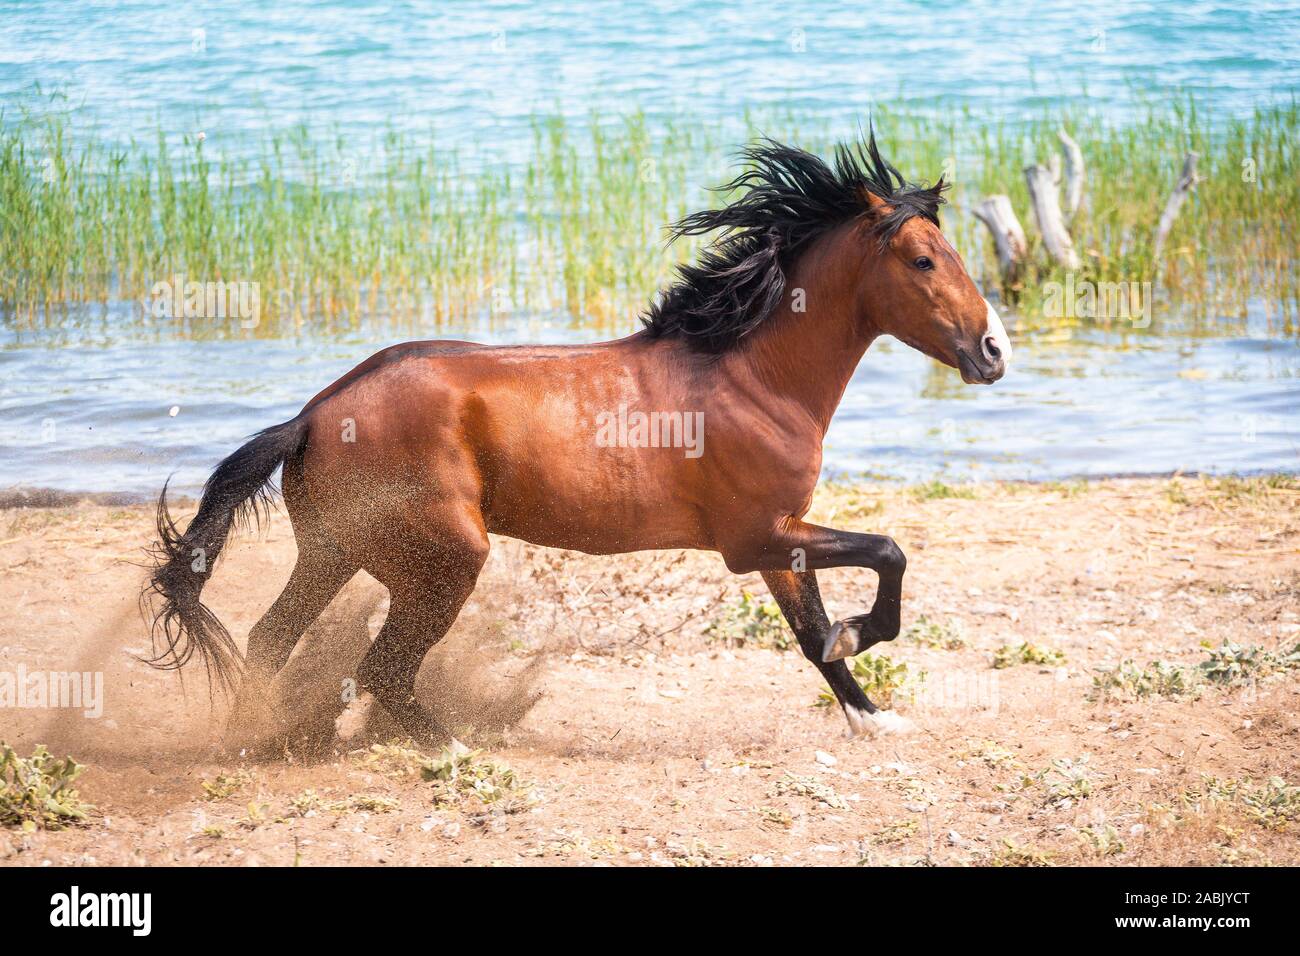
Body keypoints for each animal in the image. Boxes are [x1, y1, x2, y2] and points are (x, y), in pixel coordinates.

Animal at [143, 135, 1010, 744]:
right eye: (924, 259)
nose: (994, 350)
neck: (750, 377)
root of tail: (314, 416)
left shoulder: (780, 538)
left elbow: (808, 636)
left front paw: (873, 711)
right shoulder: (756, 537)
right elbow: (887, 554)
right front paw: (861, 635)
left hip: (335, 551)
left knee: (269, 639)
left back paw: (249, 740)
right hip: (443, 558)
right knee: (381, 667)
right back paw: (449, 745)